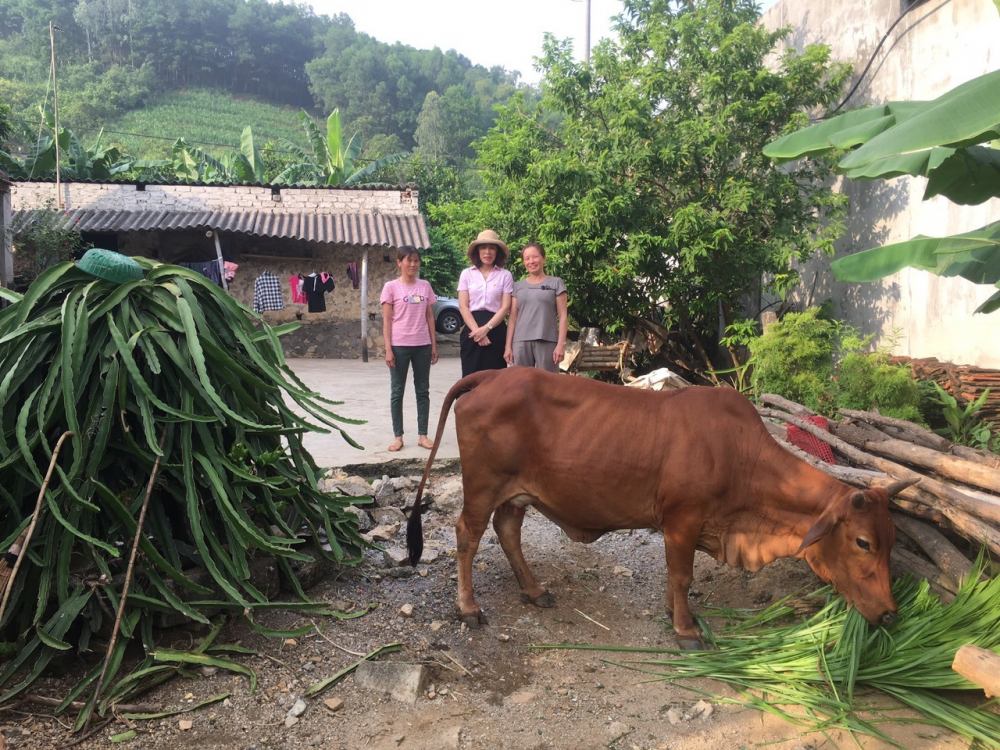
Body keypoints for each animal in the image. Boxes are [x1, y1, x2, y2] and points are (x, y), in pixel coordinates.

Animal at [406, 370, 908, 652]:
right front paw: (686, 630)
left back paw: (535, 591)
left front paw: (673, 612)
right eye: (863, 541)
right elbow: (682, 575)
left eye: (892, 539)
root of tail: (490, 375)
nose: (890, 614)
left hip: (516, 494)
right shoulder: (683, 521)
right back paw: (468, 608)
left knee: (507, 531)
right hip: (483, 486)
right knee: (467, 535)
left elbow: (674, 576)